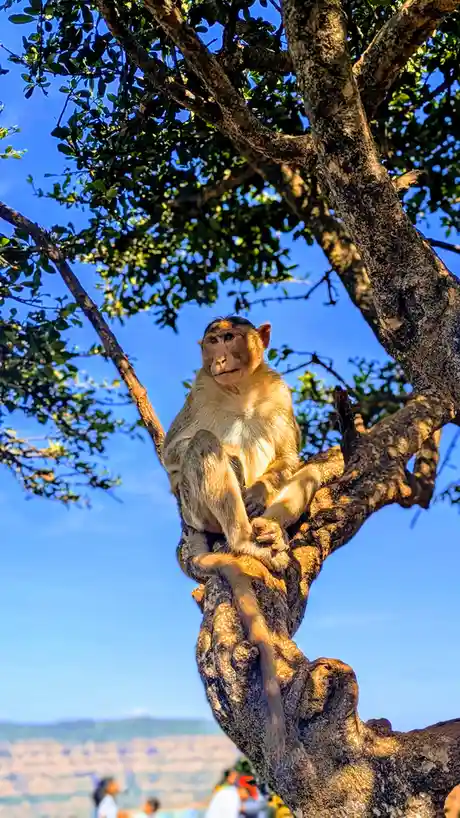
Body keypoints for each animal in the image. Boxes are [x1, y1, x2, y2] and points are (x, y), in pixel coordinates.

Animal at [163, 316, 322, 756]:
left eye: (230, 337)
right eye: (213, 339)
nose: (218, 358)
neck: (241, 390)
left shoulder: (279, 391)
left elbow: (289, 457)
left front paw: (259, 491)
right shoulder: (200, 387)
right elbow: (173, 453)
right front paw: (231, 460)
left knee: (309, 471)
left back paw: (269, 529)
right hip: (197, 510)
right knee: (204, 445)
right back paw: (242, 539)